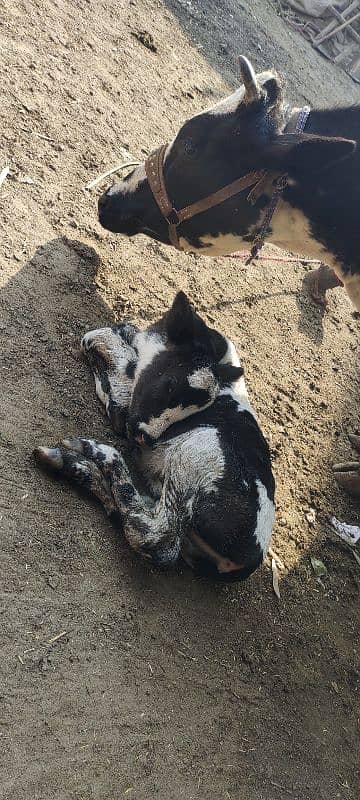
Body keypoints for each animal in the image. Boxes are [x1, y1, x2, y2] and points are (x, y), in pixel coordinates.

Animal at [34, 292, 276, 580]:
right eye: (170, 385)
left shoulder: (129, 398)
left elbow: (98, 338)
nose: (144, 439)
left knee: (157, 541)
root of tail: (248, 561)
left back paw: (90, 454)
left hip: (197, 453)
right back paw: (79, 467)